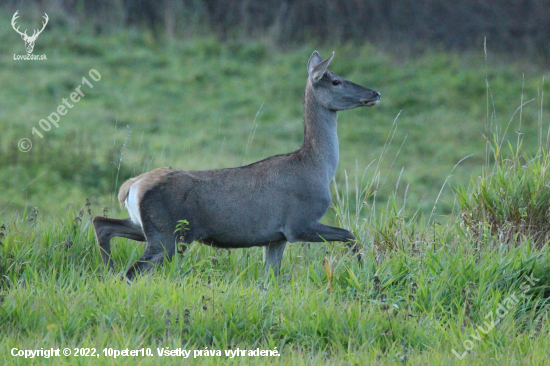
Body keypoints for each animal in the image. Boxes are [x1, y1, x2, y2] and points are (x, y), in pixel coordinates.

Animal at [92, 50, 382, 280]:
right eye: (336, 80)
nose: (375, 93)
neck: (317, 168)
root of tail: (131, 186)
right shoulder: (299, 222)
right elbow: (350, 235)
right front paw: (364, 270)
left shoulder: (276, 238)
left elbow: (270, 280)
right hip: (168, 233)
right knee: (133, 270)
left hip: (146, 226)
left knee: (102, 223)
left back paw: (107, 269)